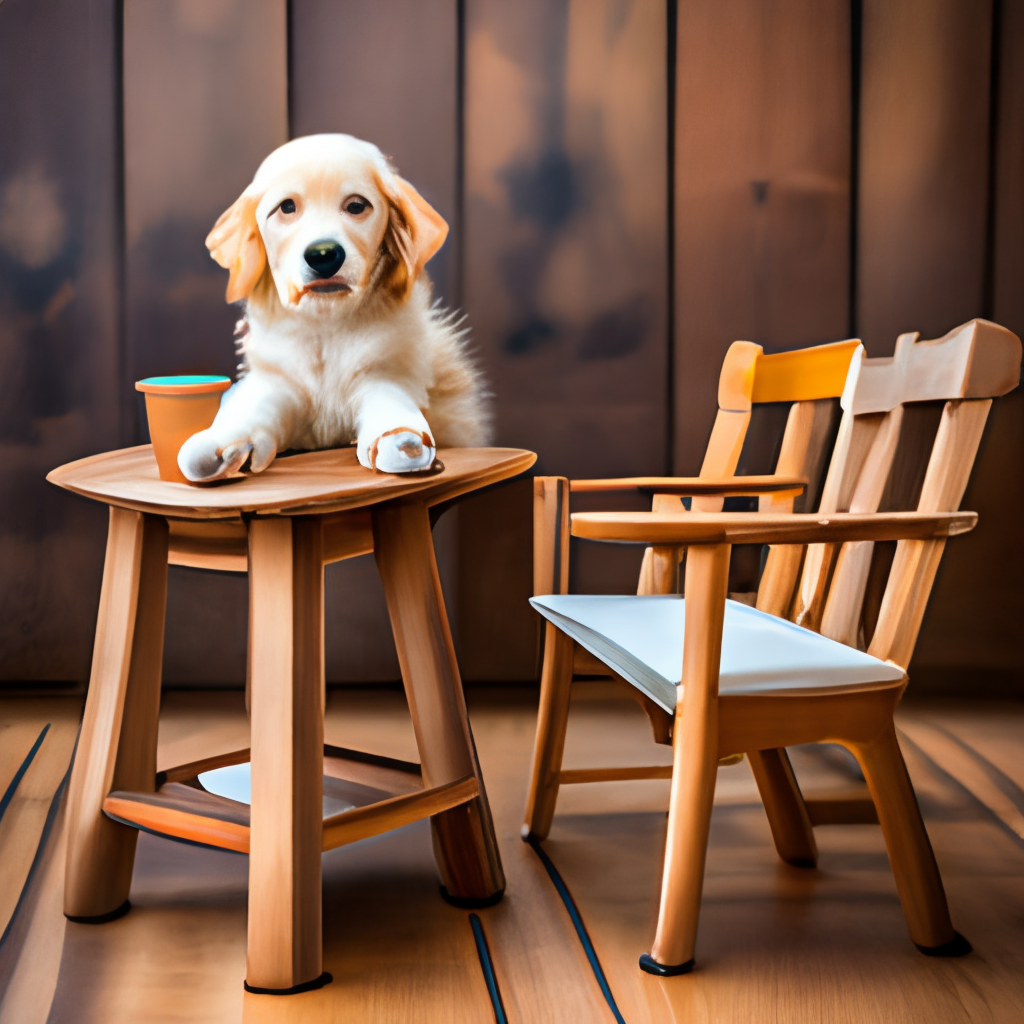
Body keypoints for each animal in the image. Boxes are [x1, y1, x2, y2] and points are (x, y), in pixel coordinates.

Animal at [178, 134, 489, 481]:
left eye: (356, 206)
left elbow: (390, 401)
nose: (324, 254)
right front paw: (219, 443)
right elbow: (253, 409)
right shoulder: (280, 383)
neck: (326, 326)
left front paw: (402, 439)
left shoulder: (385, 373)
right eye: (287, 207)